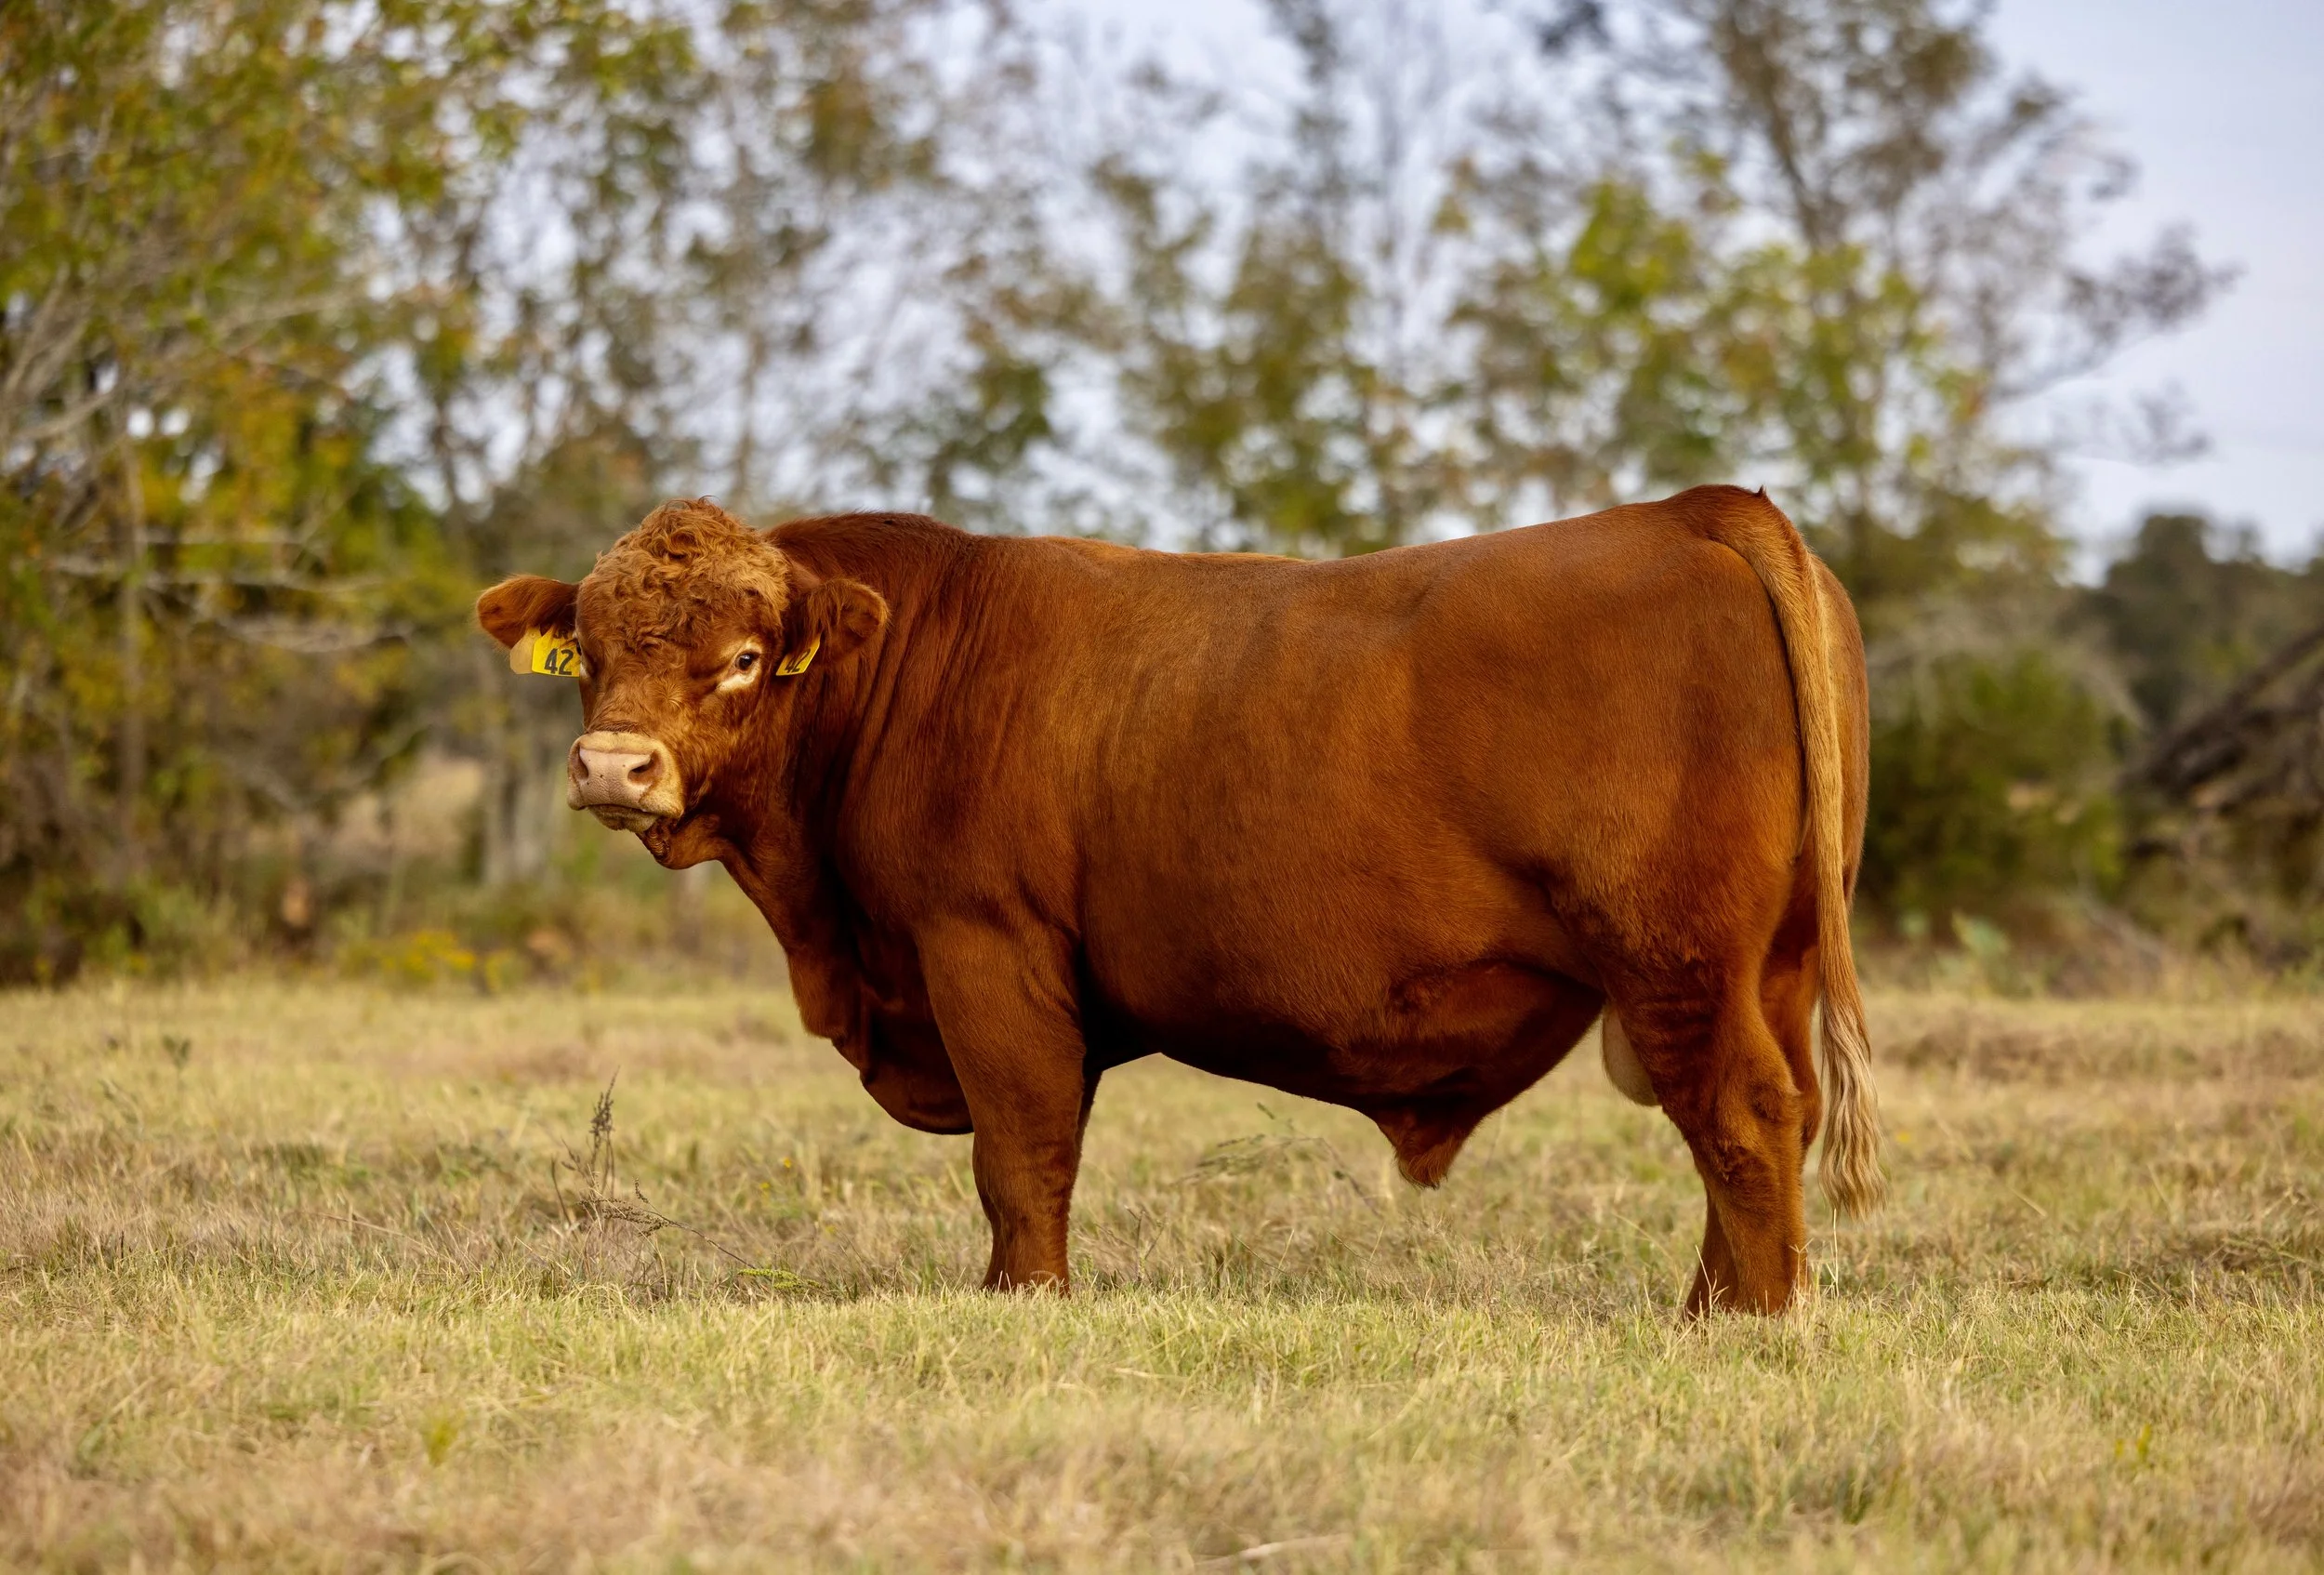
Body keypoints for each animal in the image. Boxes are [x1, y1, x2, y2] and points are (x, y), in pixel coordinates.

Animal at [476, 485, 1882, 1314]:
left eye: (744, 658)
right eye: (588, 646)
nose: (612, 766)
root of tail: (1691, 509)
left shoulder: (984, 950)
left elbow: (1021, 1152)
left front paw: (1025, 1299)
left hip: (1675, 955)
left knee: (1742, 1114)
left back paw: (1750, 1322)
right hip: (1767, 961)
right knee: (1767, 1117)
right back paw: (1711, 1305)